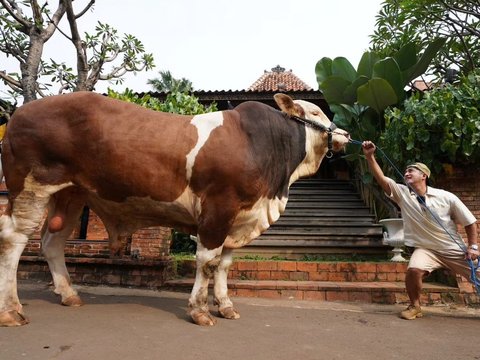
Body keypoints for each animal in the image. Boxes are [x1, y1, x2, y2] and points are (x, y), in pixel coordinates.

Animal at [0, 90, 348, 326]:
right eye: (315, 112)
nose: (345, 134)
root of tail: (20, 112)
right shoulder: (219, 208)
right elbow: (207, 262)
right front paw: (200, 310)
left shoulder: (238, 219)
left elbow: (224, 264)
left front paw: (225, 306)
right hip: (31, 188)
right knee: (13, 240)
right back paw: (10, 310)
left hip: (70, 194)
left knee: (52, 241)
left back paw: (69, 294)